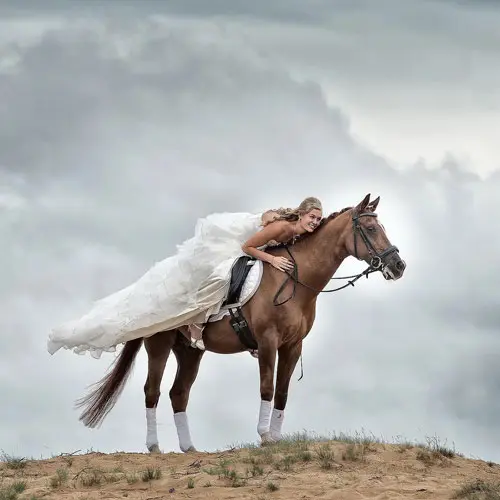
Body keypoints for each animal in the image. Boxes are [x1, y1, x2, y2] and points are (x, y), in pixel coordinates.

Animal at [77, 194, 406, 454]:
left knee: (178, 394)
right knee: (152, 392)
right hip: (159, 345)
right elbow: (267, 388)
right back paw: (154, 446)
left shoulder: (293, 346)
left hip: (190, 351)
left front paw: (276, 437)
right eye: (371, 228)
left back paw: (189, 448)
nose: (398, 266)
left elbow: (282, 392)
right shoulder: (268, 341)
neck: (295, 277)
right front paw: (264, 437)